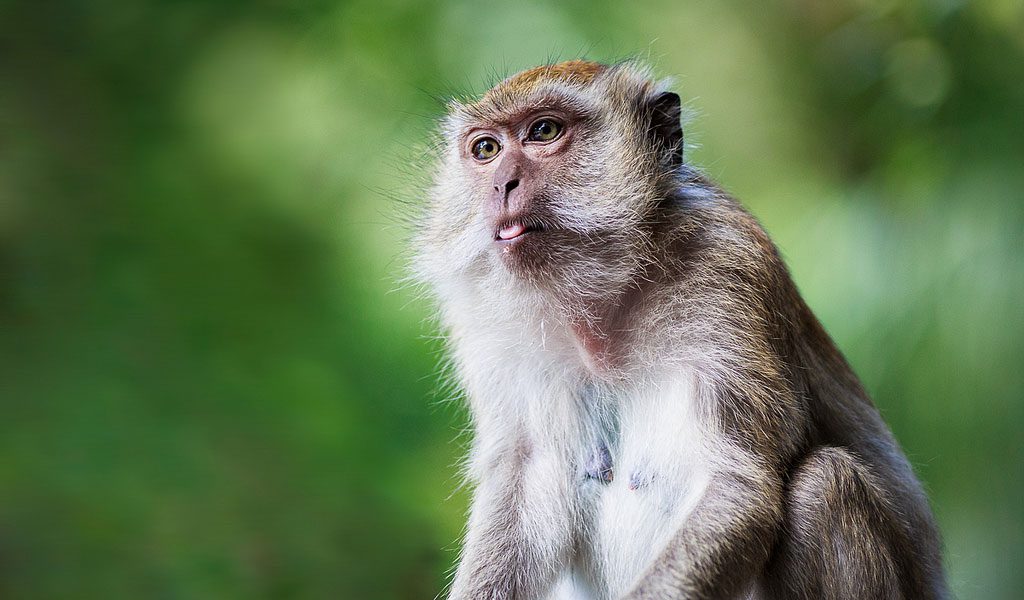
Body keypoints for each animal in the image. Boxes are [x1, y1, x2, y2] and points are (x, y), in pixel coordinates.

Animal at [413, 60, 947, 600]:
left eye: (543, 131)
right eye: (486, 149)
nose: (502, 183)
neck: (605, 308)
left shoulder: (729, 266)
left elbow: (737, 486)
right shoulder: (484, 326)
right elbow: (523, 485)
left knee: (825, 483)